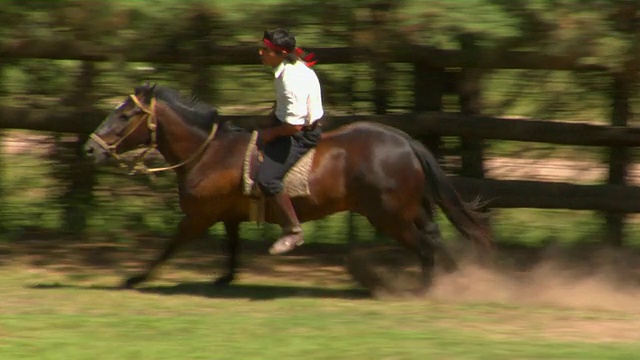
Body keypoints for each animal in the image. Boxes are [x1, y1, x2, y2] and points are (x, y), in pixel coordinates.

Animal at [81, 83, 490, 290]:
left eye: (125, 115)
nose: (90, 148)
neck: (208, 153)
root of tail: (404, 140)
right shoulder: (228, 215)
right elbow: (232, 245)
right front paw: (226, 277)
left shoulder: (198, 217)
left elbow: (169, 247)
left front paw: (136, 277)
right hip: (413, 209)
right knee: (435, 237)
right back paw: (458, 278)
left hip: (390, 216)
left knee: (424, 246)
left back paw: (428, 288)